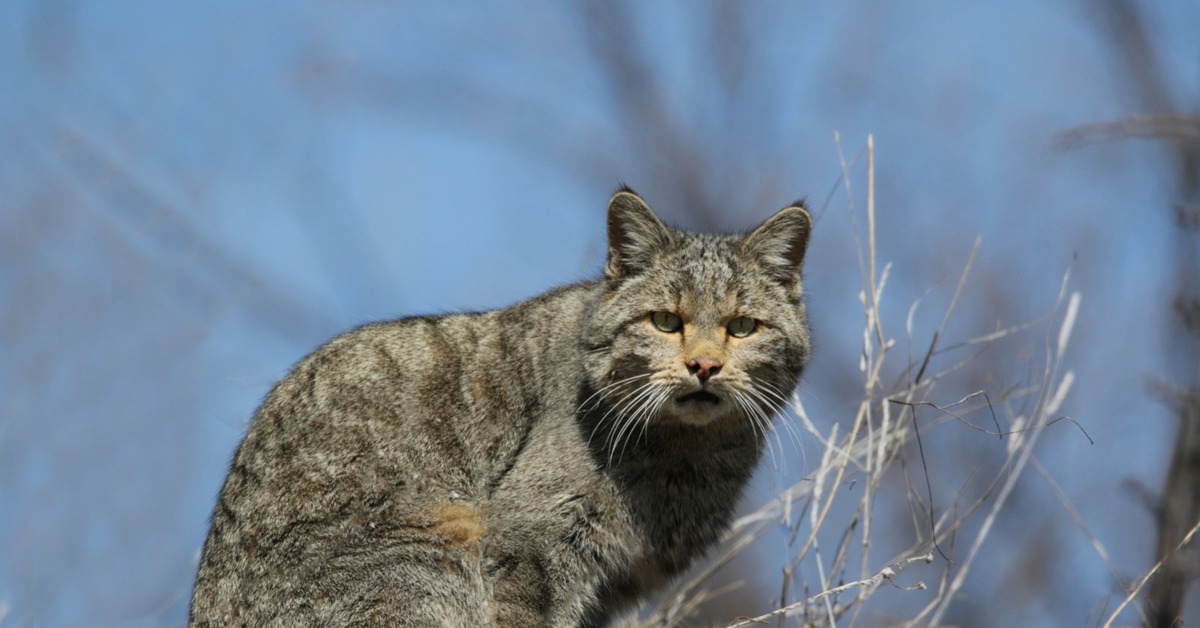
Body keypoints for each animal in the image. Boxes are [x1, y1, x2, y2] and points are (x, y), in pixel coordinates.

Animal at [192, 189, 816, 624]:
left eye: (742, 327)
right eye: (665, 320)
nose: (704, 365)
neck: (683, 457)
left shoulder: (611, 585)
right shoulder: (529, 545)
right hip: (436, 544)